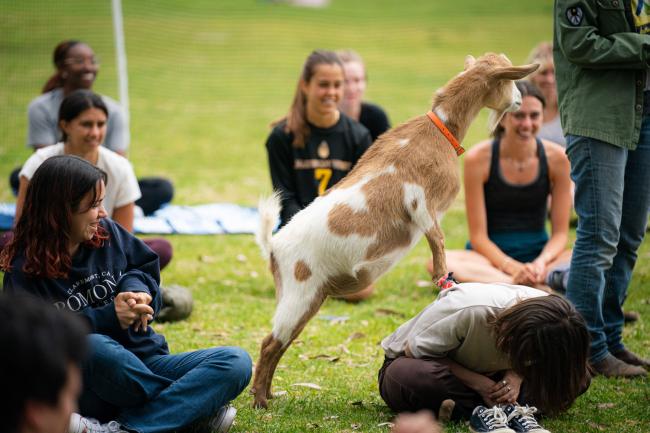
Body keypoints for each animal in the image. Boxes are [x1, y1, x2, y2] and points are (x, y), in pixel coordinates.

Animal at [251, 52, 536, 406]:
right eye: (508, 80)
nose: (520, 100)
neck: (437, 131)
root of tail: (274, 246)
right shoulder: (420, 202)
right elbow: (438, 241)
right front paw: (443, 282)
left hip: (306, 298)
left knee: (281, 342)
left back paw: (269, 394)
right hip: (299, 293)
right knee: (270, 343)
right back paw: (260, 402)